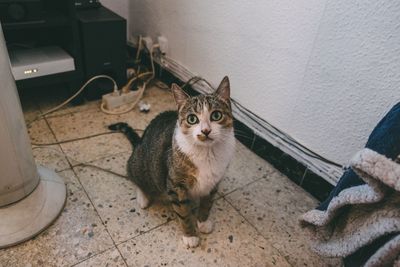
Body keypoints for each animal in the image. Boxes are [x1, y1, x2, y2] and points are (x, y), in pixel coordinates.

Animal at [108, 77, 236, 249]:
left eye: (216, 115)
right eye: (192, 119)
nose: (206, 131)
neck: (207, 153)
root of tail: (140, 142)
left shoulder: (214, 182)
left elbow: (207, 203)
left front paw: (203, 222)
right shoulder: (176, 185)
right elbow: (183, 212)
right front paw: (190, 235)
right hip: (139, 164)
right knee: (134, 176)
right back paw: (143, 197)